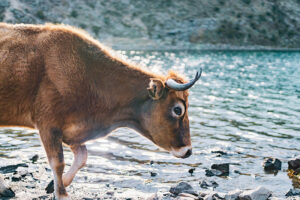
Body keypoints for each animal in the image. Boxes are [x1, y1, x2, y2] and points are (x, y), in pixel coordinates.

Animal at [0, 23, 202, 198]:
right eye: (177, 109)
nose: (188, 151)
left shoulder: (73, 132)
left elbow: (82, 157)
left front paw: (57, 184)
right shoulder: (49, 126)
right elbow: (58, 162)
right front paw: (62, 194)